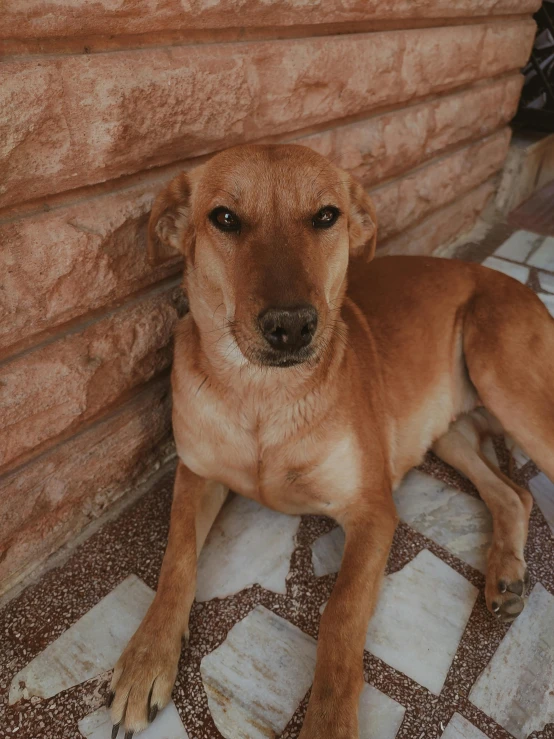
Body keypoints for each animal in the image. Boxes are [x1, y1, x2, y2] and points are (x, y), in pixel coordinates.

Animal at [109, 146, 552, 739]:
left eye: (325, 216)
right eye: (224, 217)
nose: (291, 326)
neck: (263, 396)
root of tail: (521, 286)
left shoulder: (372, 510)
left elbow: (341, 615)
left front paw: (329, 720)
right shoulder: (196, 472)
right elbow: (176, 557)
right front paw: (147, 655)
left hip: (507, 382)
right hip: (448, 431)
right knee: (513, 493)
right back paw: (506, 573)